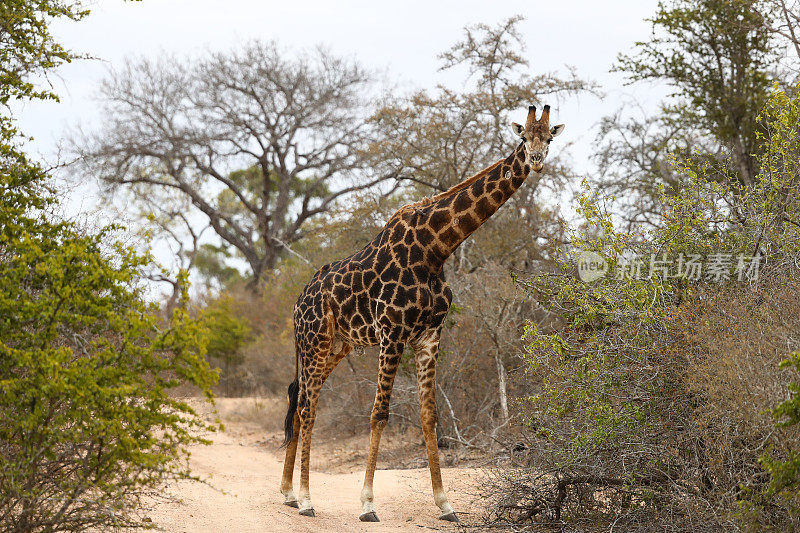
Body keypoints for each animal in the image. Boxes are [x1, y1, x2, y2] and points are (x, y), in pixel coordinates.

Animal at [278, 103, 564, 520]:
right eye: (524, 138)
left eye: (549, 138)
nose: (538, 161)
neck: (435, 249)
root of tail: (299, 301)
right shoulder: (393, 334)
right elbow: (379, 414)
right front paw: (367, 504)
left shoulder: (429, 335)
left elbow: (430, 416)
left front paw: (445, 504)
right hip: (315, 342)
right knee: (307, 407)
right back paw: (306, 499)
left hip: (337, 346)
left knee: (299, 401)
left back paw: (288, 492)